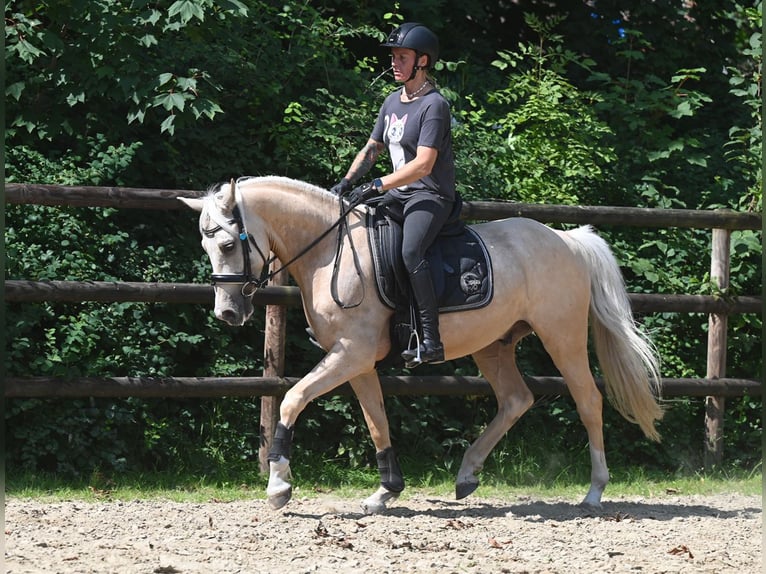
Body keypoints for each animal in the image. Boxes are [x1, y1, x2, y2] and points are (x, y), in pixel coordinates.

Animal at [178, 177, 660, 516]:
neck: (331, 249)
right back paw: (467, 474)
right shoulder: (357, 361)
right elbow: (377, 421)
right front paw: (385, 491)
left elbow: (292, 398)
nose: (227, 313)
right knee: (515, 399)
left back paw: (594, 491)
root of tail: (568, 240)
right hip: (493, 344)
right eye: (204, 244)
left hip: (562, 337)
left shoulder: (350, 353)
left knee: (588, 400)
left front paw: (279, 485)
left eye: (227, 243)